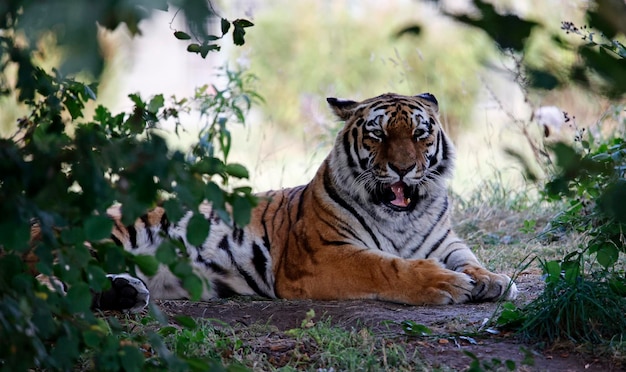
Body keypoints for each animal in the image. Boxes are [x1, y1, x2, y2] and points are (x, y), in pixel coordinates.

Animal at [97, 92, 516, 310]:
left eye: (419, 134)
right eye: (378, 135)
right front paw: (446, 283)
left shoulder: (446, 243)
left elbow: (470, 260)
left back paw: (126, 291)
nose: (403, 168)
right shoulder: (322, 254)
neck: (403, 219)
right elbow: (386, 266)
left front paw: (493, 280)